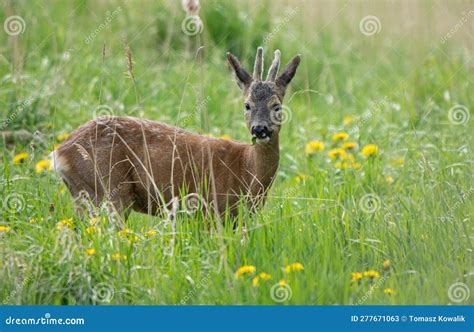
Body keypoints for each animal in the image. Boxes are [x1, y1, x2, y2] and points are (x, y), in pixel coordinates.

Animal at [51, 46, 300, 222]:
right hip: (108, 190)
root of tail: (59, 154)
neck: (246, 171)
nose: (260, 129)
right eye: (247, 105)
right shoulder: (212, 210)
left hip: (85, 195)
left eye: (276, 106)